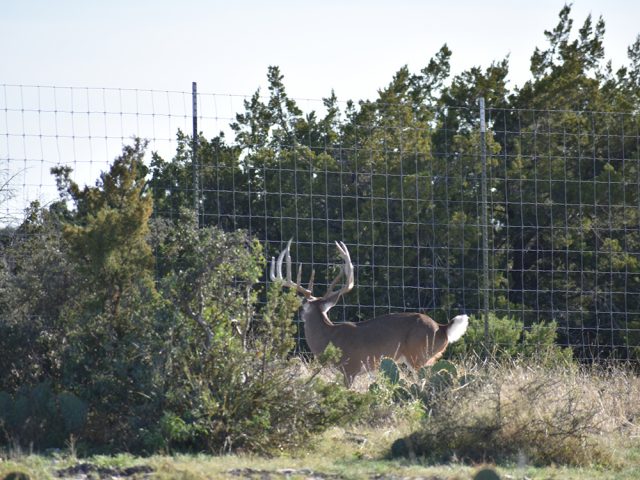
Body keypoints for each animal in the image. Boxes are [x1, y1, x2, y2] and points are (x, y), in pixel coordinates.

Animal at [270, 239, 469, 387]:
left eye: (303, 307)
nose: (298, 314)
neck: (328, 337)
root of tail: (442, 328)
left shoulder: (350, 368)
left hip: (418, 355)